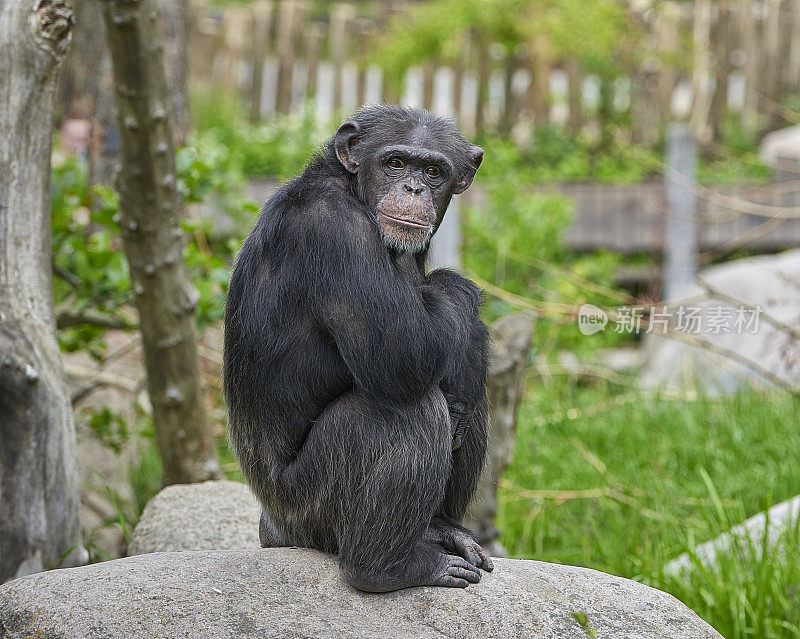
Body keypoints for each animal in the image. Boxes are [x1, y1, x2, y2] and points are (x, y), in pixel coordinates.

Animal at [222, 106, 490, 596]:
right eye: (395, 164)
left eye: (434, 171)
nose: (413, 188)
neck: (352, 188)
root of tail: (273, 530)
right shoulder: (334, 228)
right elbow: (401, 353)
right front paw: (460, 298)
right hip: (311, 510)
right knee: (413, 411)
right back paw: (388, 567)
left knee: (468, 396)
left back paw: (440, 529)